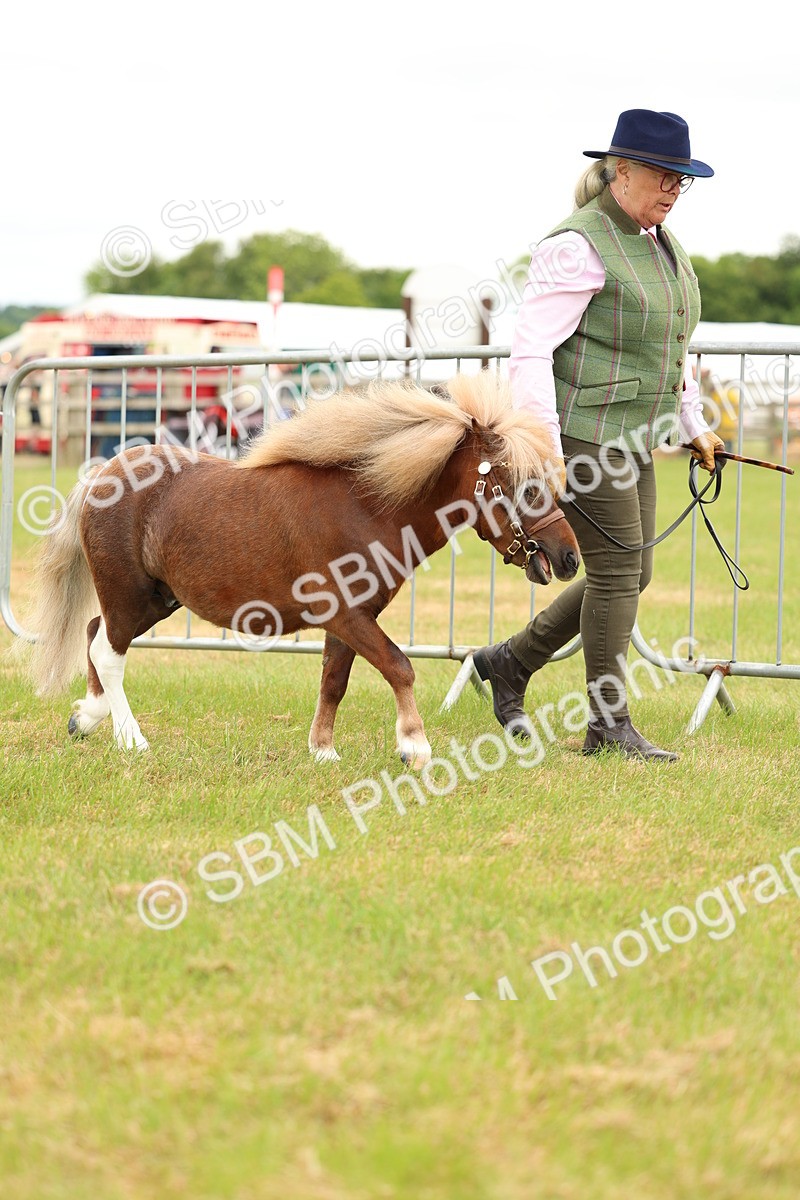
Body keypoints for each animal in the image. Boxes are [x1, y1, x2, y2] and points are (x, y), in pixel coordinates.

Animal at [25, 370, 580, 767]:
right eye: (525, 483)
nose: (568, 557)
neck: (367, 508)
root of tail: (102, 473)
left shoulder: (351, 620)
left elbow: (334, 680)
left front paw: (323, 751)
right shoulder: (346, 614)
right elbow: (398, 666)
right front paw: (414, 747)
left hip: (156, 600)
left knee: (95, 635)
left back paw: (86, 717)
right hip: (127, 593)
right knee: (108, 650)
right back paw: (130, 738)